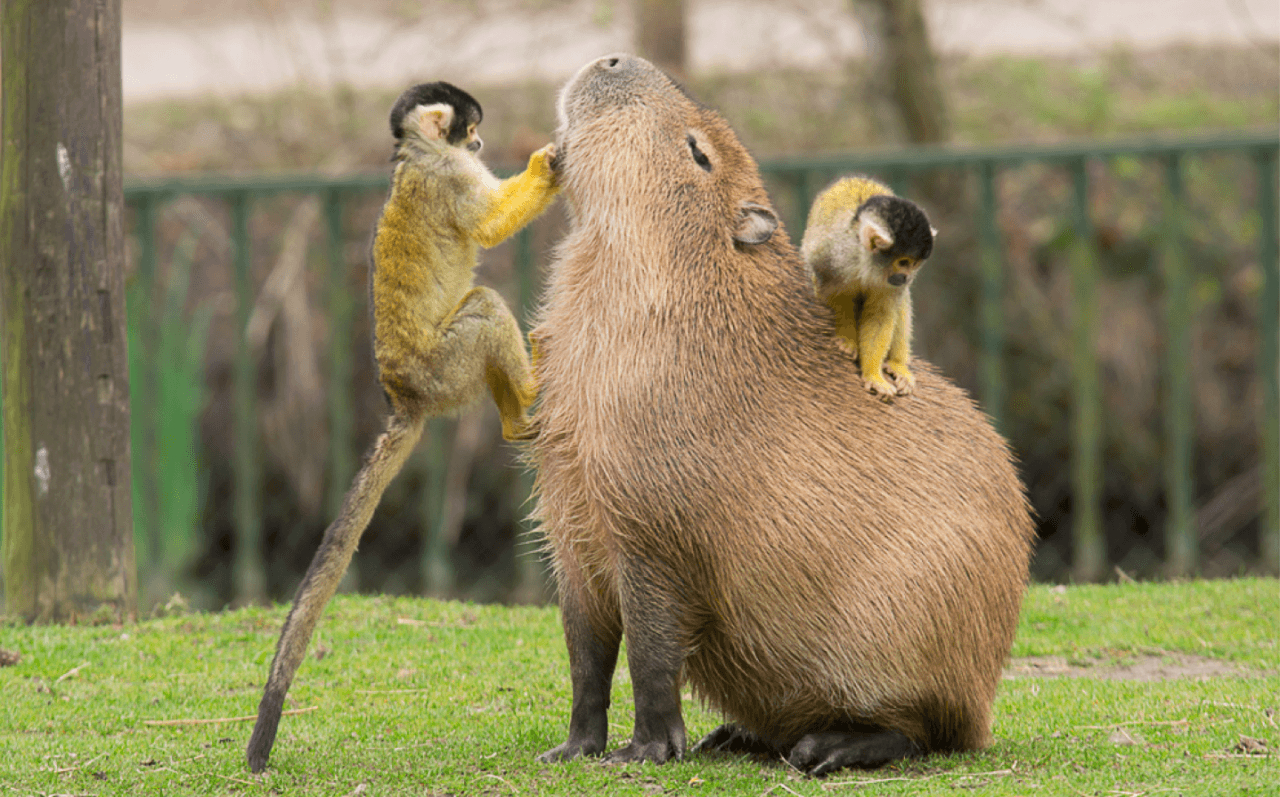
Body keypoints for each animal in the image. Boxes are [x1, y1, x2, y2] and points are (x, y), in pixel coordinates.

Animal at [247, 81, 558, 772]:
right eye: (470, 130)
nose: (479, 143)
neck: (417, 154)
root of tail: (405, 398)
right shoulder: (448, 177)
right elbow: (488, 226)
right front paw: (546, 164)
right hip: (444, 369)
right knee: (484, 309)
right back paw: (531, 396)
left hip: (442, 377)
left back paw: (515, 422)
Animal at [803, 173, 936, 399]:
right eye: (903, 262)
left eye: (915, 264)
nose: (907, 277)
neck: (864, 261)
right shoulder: (833, 256)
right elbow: (833, 294)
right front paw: (846, 339)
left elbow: (880, 314)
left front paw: (873, 374)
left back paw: (897, 363)